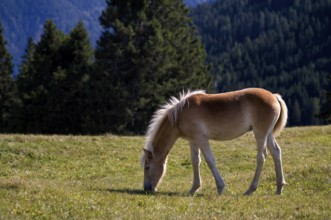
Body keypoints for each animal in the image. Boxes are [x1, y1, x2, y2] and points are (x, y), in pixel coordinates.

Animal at [141, 87, 290, 196]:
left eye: (147, 167)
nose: (147, 189)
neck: (179, 116)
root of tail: (273, 96)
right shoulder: (193, 141)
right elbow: (195, 161)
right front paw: (193, 189)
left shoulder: (201, 139)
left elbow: (210, 161)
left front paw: (220, 187)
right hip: (268, 134)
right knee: (276, 153)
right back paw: (279, 188)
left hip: (260, 133)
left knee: (261, 156)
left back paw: (250, 189)